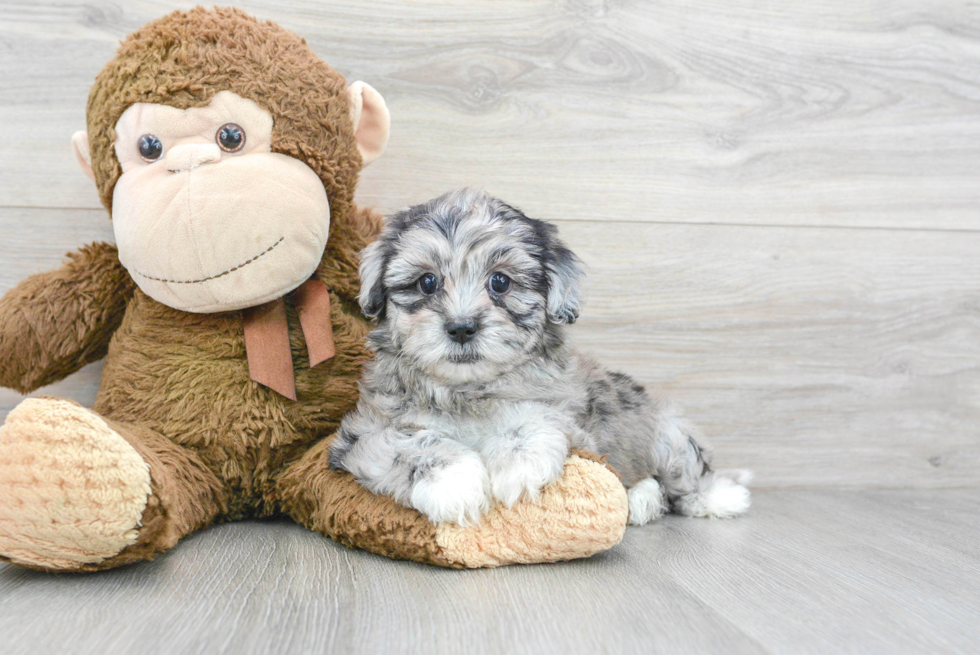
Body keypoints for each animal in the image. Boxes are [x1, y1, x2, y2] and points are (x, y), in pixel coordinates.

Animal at [330, 190, 752, 528]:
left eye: (500, 282)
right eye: (427, 282)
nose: (462, 327)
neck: (468, 390)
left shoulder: (572, 420)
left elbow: (533, 418)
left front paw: (517, 465)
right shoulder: (361, 434)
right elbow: (411, 444)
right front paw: (454, 483)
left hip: (669, 436)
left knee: (684, 478)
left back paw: (719, 497)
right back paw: (642, 501)